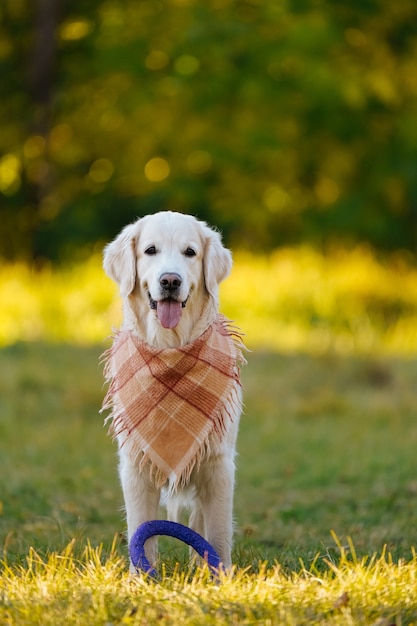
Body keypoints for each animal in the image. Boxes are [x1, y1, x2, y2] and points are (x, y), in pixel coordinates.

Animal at [101, 211, 244, 572]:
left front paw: (221, 575)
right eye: (150, 250)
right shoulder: (135, 464)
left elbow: (217, 531)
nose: (170, 281)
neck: (170, 350)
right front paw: (140, 577)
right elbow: (141, 525)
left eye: (190, 252)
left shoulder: (218, 463)